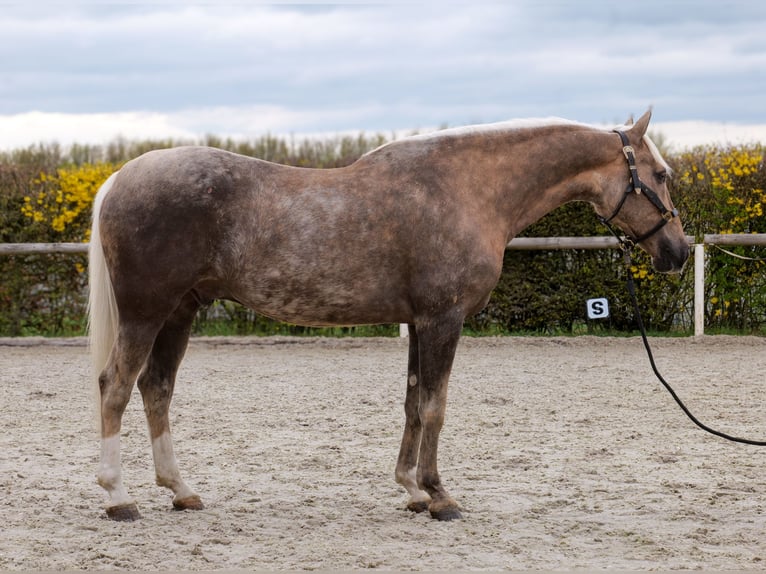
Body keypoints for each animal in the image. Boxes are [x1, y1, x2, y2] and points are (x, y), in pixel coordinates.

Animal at [88, 109, 689, 522]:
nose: (678, 253)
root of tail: (118, 179)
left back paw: (181, 491)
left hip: (180, 312)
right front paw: (440, 496)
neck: (466, 189)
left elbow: (413, 403)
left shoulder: (420, 323)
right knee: (116, 386)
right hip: (148, 312)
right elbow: (435, 406)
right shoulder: (444, 319)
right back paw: (119, 497)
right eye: (660, 175)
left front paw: (412, 490)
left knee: (157, 388)